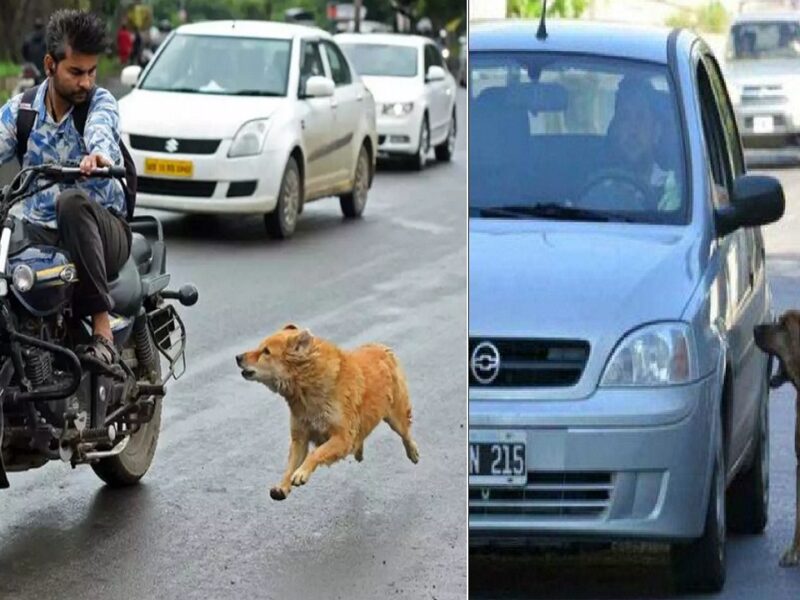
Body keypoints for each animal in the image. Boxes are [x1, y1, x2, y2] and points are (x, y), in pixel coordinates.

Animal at [234, 326, 418, 500]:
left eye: (266, 351)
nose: (237, 357)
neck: (305, 387)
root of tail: (381, 347)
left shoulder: (341, 437)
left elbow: (316, 453)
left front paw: (302, 473)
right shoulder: (300, 437)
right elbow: (291, 464)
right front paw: (282, 486)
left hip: (396, 416)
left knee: (406, 433)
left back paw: (413, 452)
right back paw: (358, 450)